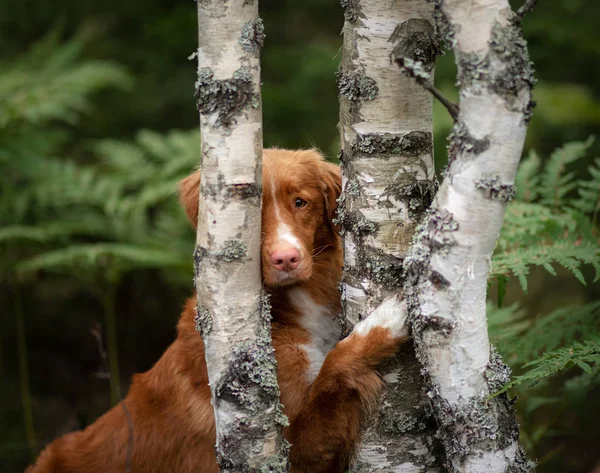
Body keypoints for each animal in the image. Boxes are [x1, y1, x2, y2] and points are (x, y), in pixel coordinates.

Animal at [29, 149, 412, 472]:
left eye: (300, 202)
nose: (286, 259)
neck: (290, 310)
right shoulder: (284, 454)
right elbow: (332, 370)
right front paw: (386, 324)